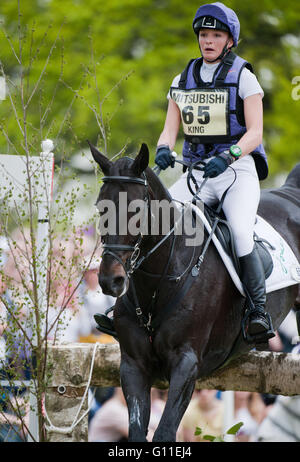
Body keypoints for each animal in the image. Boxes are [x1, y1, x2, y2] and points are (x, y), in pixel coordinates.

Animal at [88, 142, 300, 444]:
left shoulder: (186, 363)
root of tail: (290, 191)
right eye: (100, 207)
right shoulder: (133, 365)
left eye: (137, 209)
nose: (111, 280)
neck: (160, 279)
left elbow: (164, 432)